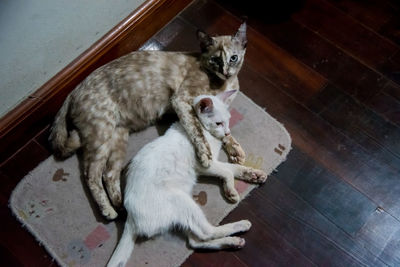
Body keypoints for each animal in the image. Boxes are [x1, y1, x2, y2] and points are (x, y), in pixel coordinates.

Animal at [49, 22, 248, 220]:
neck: (223, 83)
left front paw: (235, 150)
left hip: (118, 138)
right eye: (215, 60)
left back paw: (120, 205)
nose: (225, 71)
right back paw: (107, 210)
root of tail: (72, 92)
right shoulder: (182, 100)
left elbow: (226, 133)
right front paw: (206, 156)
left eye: (233, 58)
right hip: (101, 136)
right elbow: (197, 130)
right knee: (91, 174)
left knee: (109, 174)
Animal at [108, 90, 268, 267]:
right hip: (183, 202)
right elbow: (227, 172)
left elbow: (233, 168)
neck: (204, 133)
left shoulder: (215, 162)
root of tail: (130, 218)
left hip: (183, 213)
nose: (227, 133)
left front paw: (253, 174)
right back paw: (240, 226)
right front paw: (231, 191)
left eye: (227, 121)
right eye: (218, 123)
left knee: (195, 241)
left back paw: (233, 242)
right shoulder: (206, 164)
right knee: (206, 232)